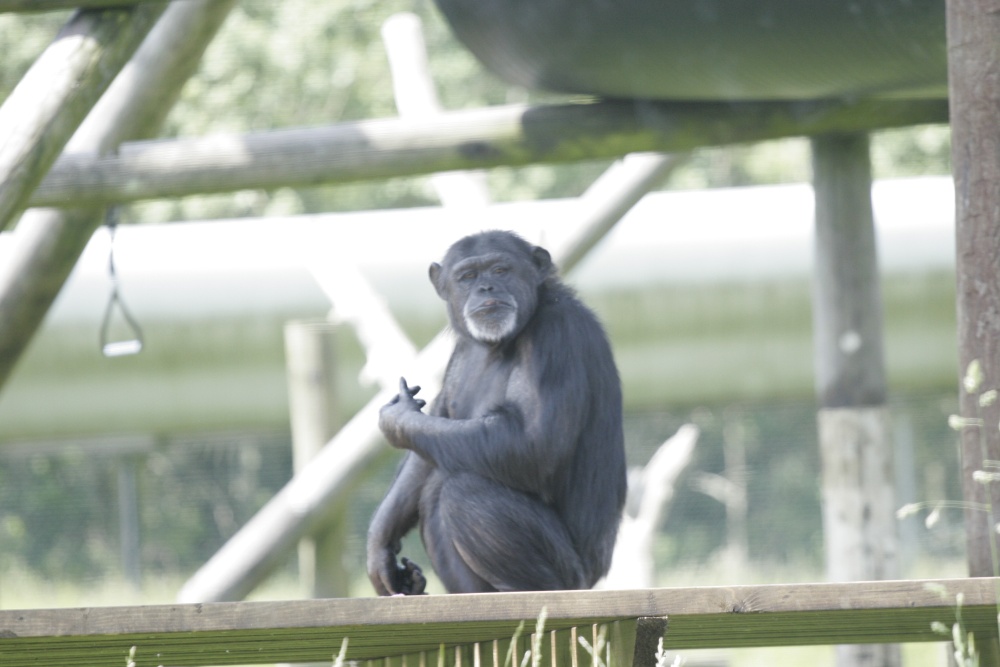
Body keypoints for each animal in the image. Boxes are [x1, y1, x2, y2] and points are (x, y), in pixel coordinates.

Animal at [366, 231, 624, 596]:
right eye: (468, 276)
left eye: (501, 269)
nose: (486, 287)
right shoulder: (457, 354)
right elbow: (425, 453)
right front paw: (379, 547)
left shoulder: (557, 335)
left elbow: (533, 443)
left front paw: (397, 419)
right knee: (434, 486)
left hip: (574, 575)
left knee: (464, 488)